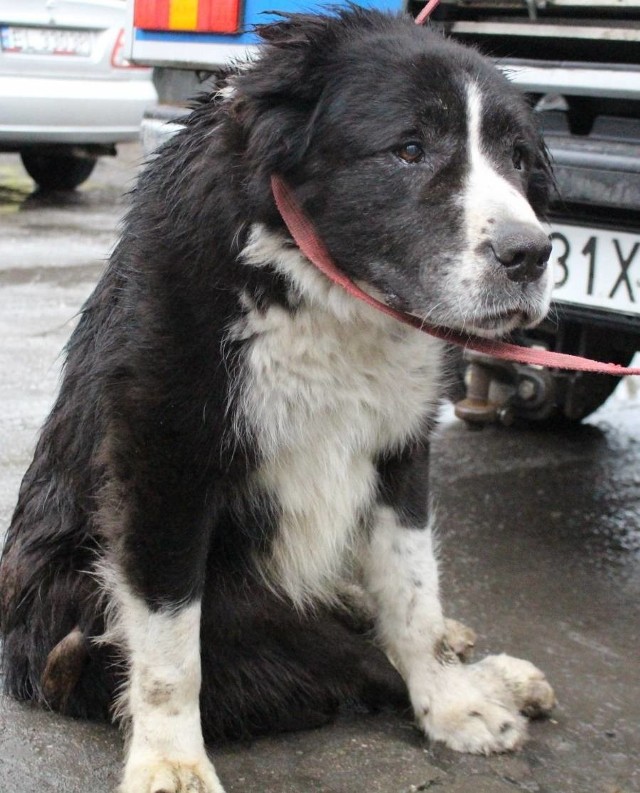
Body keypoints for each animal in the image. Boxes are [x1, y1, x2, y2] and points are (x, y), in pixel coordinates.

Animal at [1, 7, 556, 792]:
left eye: (517, 159)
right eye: (408, 149)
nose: (532, 253)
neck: (317, 288)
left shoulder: (401, 443)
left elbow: (413, 595)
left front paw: (452, 704)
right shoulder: (164, 458)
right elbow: (172, 645)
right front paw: (170, 760)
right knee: (336, 659)